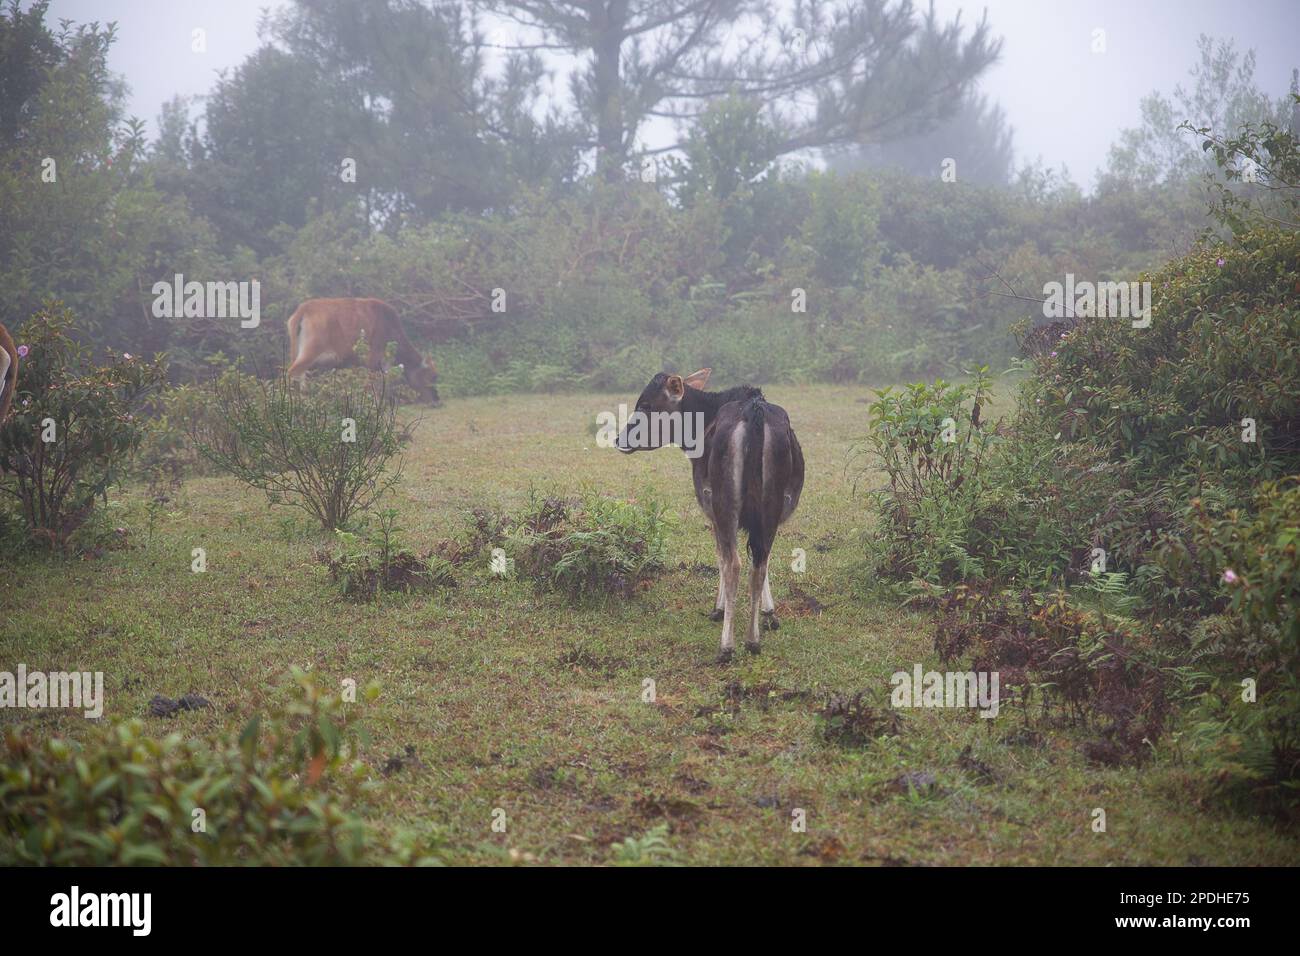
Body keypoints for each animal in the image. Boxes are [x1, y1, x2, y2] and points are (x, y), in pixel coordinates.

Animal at [287, 299, 439, 403]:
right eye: (432, 376)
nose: (436, 400)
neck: (389, 326)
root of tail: (305, 308)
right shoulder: (373, 361)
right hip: (309, 354)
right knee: (292, 373)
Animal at [611, 369, 800, 660]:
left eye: (645, 405)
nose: (620, 440)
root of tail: (753, 412)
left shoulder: (709, 507)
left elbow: (720, 557)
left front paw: (718, 608)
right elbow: (761, 560)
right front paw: (769, 613)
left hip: (724, 504)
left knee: (734, 564)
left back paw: (727, 646)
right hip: (772, 505)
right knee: (759, 562)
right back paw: (753, 640)